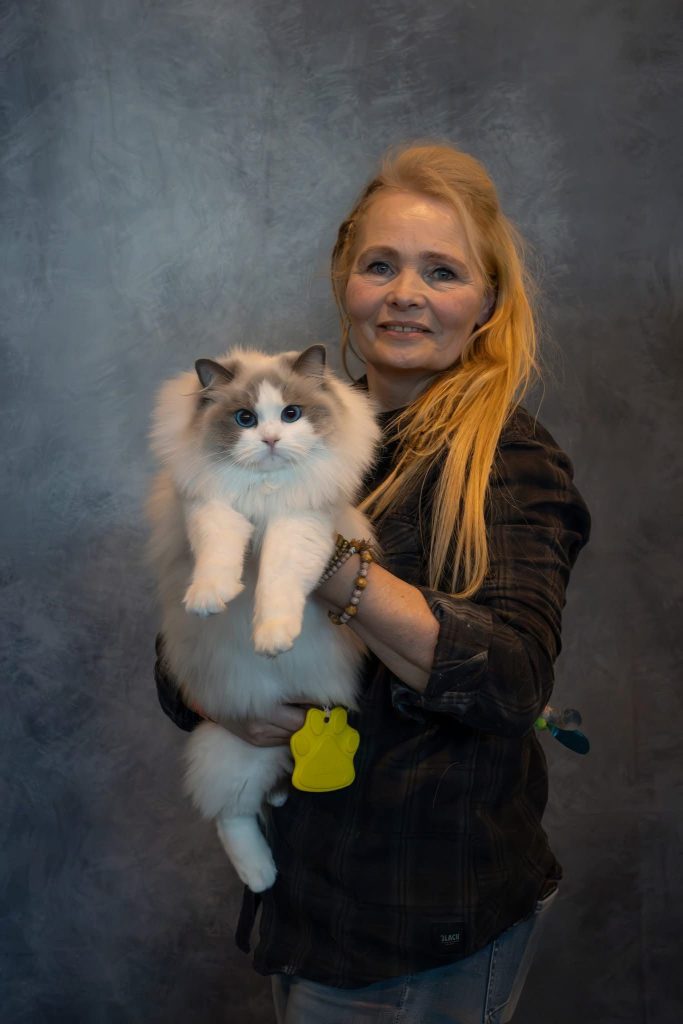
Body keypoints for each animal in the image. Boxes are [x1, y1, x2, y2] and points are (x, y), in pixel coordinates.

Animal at [146, 344, 380, 892]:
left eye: (291, 414)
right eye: (245, 419)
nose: (271, 439)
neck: (265, 493)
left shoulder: (299, 522)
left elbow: (277, 578)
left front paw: (273, 638)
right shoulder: (211, 506)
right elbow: (217, 551)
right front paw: (210, 597)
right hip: (239, 752)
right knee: (230, 815)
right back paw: (262, 876)